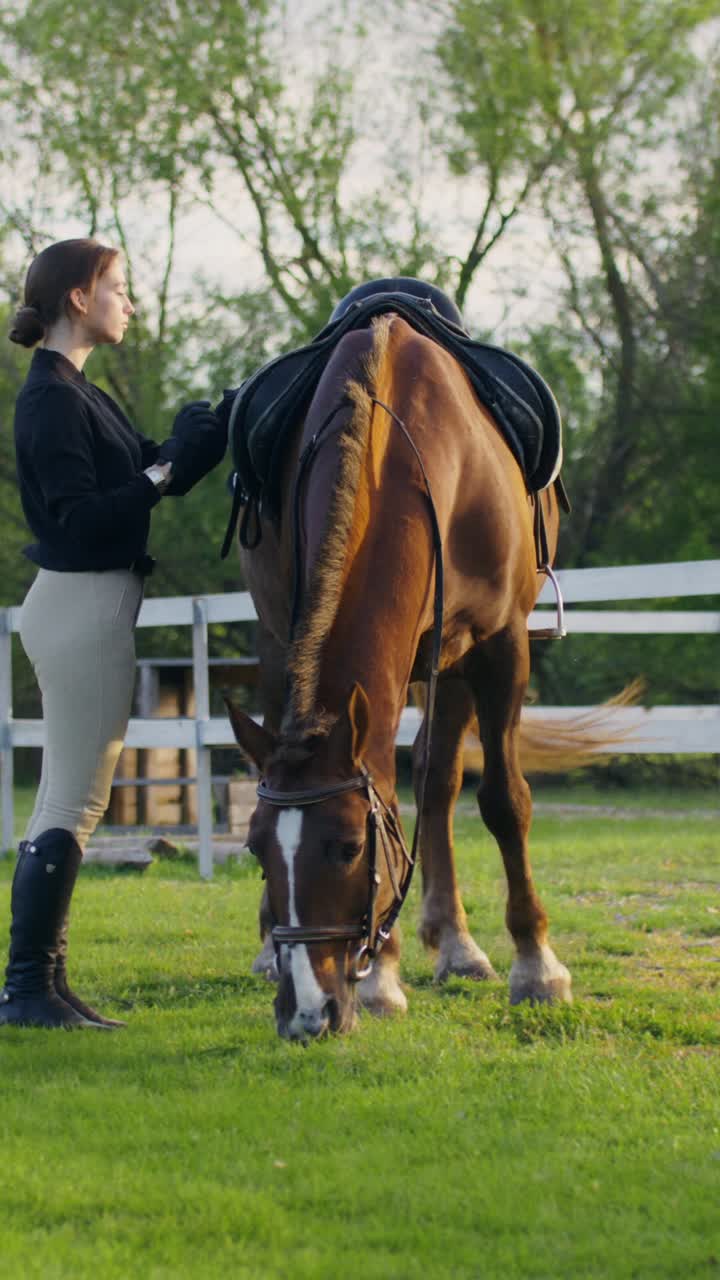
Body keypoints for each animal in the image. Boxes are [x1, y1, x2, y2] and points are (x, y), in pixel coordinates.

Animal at [225, 294, 572, 1041]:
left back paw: (459, 945)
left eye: (350, 847)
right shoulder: (294, 634)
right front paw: (381, 978)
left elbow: (503, 801)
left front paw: (537, 966)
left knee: (439, 780)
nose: (306, 1014)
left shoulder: (499, 646)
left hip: (451, 662)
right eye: (256, 850)